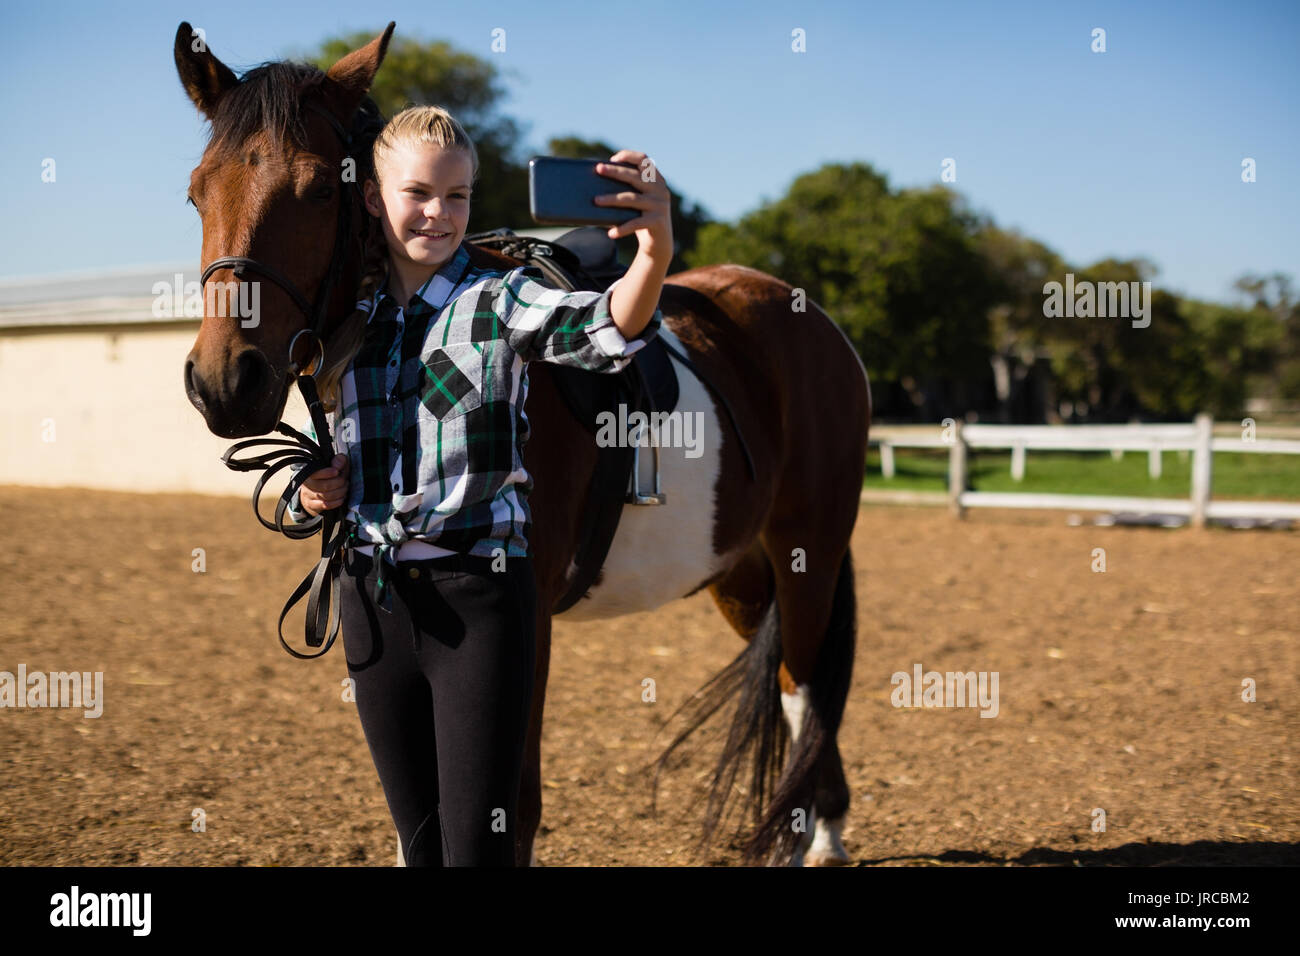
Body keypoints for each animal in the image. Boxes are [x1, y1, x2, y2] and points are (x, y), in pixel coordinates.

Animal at [175, 21, 871, 866]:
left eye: (317, 190)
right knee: (794, 687)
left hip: (810, 553)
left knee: (809, 688)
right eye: (198, 191)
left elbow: (514, 807)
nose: (224, 382)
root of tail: (810, 319)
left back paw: (815, 833)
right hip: (740, 568)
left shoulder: (526, 617)